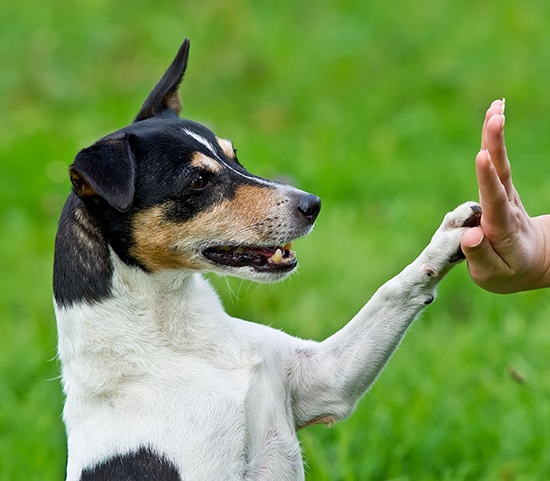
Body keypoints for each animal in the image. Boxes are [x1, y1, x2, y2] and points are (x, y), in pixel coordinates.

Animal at [52, 39, 484, 478]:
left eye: (234, 156)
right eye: (198, 180)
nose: (312, 204)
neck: (178, 339)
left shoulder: (325, 379)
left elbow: (392, 291)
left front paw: (450, 237)